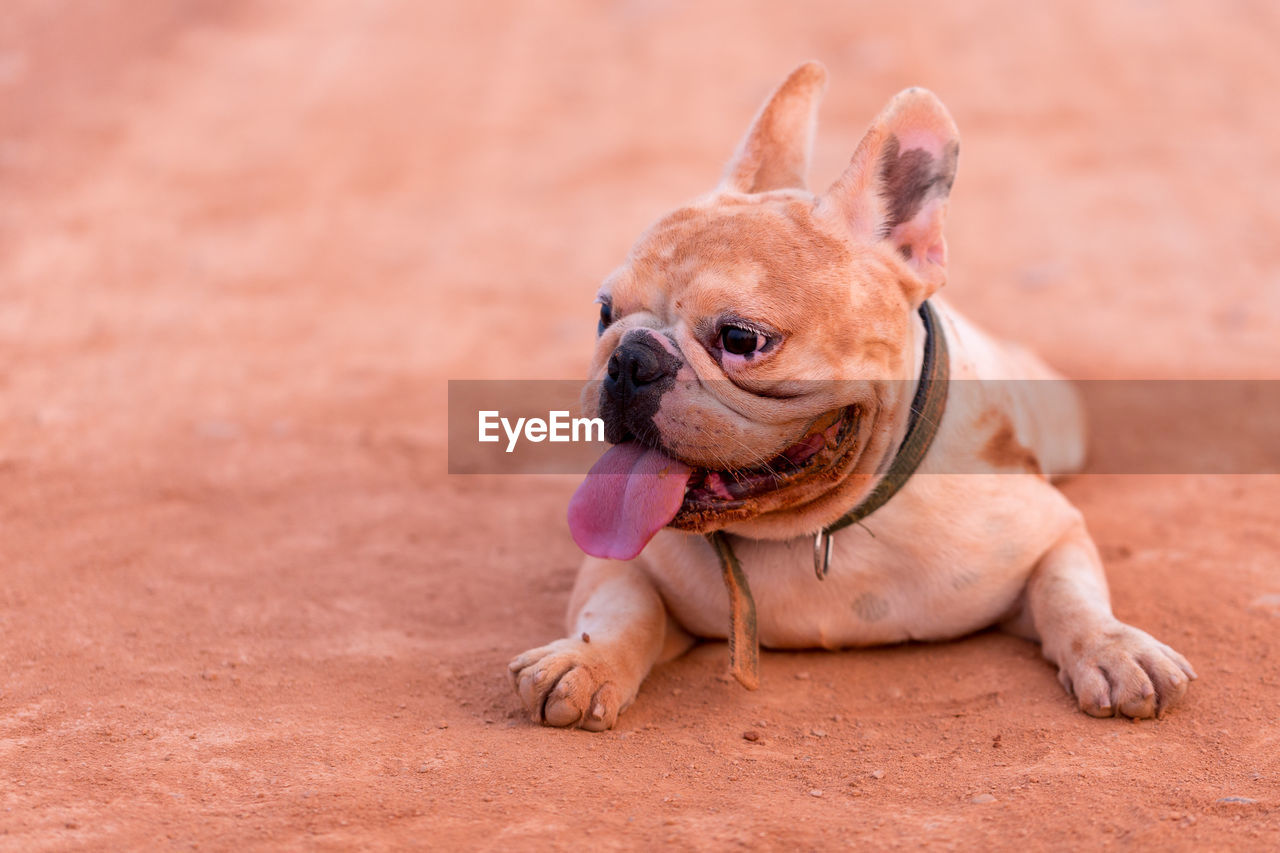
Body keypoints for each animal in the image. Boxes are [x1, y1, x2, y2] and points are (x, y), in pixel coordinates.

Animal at [504, 59, 1192, 727]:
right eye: (604, 313)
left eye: (741, 339)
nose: (629, 360)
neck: (819, 528)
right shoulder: (621, 561)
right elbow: (620, 611)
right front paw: (584, 663)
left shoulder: (1051, 531)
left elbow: (1070, 594)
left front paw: (1113, 649)